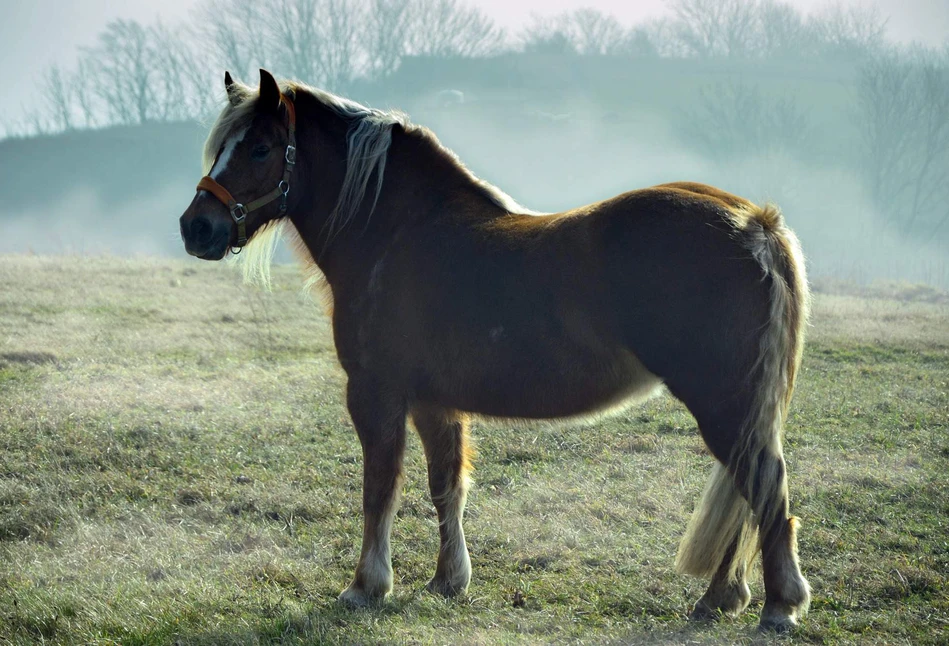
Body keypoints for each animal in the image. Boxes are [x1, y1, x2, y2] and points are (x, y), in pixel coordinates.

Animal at [180, 71, 816, 632]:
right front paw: (447, 581)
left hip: (722, 401)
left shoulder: (376, 392)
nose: (196, 228)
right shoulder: (433, 402)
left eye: (260, 147)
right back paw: (720, 598)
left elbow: (380, 487)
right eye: (220, 148)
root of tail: (755, 224)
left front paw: (366, 587)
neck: (397, 232)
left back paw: (777, 607)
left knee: (767, 490)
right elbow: (446, 486)